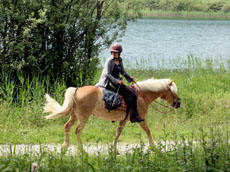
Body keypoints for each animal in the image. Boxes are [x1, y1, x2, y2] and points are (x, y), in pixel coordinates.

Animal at [42, 78, 180, 151]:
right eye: (173, 92)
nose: (178, 103)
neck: (141, 95)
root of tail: (77, 90)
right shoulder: (141, 119)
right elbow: (148, 131)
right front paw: (153, 147)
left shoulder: (123, 120)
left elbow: (118, 133)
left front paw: (113, 149)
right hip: (83, 118)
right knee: (77, 131)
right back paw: (82, 152)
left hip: (74, 116)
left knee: (67, 127)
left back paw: (65, 146)